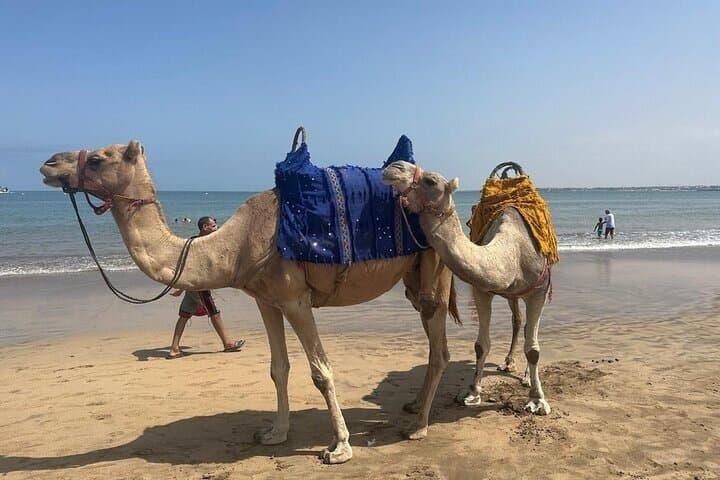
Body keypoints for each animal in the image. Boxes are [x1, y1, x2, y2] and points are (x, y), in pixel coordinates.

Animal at [39, 140, 459, 464]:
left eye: (98, 158)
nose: (49, 163)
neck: (237, 245)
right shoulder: (267, 301)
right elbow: (279, 368)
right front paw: (275, 433)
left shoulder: (295, 298)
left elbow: (320, 371)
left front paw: (339, 447)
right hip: (414, 276)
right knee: (430, 337)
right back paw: (413, 407)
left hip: (437, 263)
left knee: (439, 348)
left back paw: (418, 427)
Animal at [383, 161, 552, 415]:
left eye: (431, 181)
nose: (393, 167)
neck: (513, 253)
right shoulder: (482, 290)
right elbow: (481, 345)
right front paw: (471, 392)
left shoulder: (538, 291)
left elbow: (533, 349)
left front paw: (537, 400)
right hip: (510, 294)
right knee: (517, 320)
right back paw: (508, 362)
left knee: (529, 333)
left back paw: (525, 377)